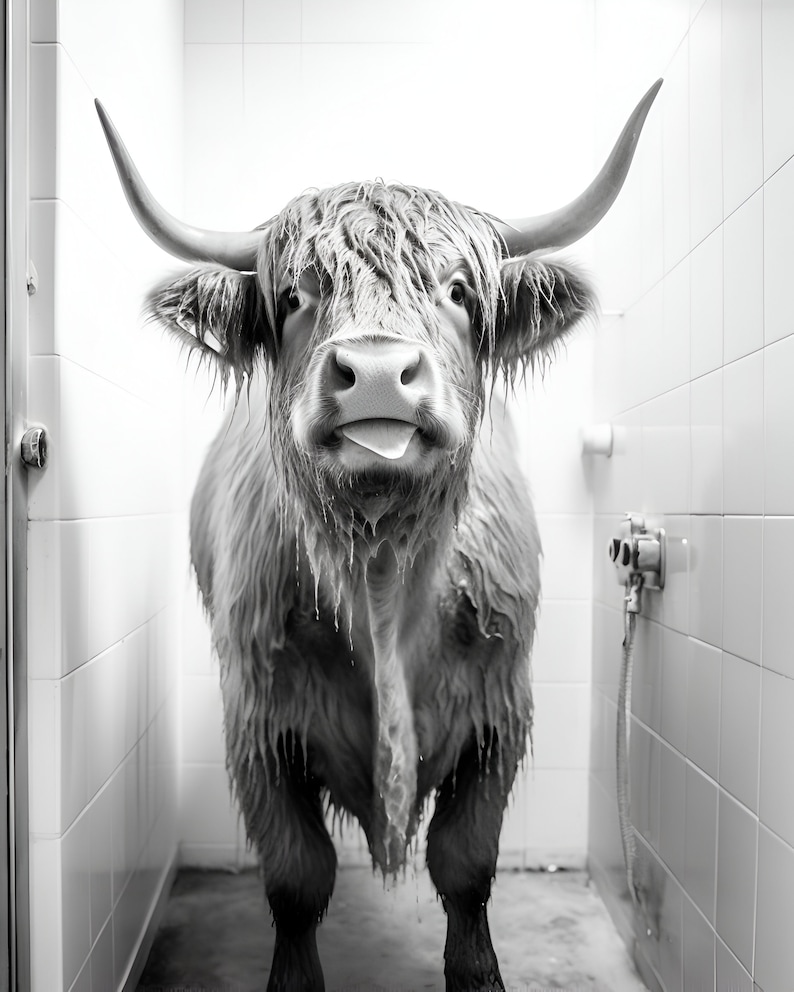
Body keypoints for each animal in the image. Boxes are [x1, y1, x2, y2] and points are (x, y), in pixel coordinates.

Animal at [97, 80, 660, 992]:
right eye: (293, 297)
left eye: (460, 291)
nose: (375, 375)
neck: (386, 579)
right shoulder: (258, 723)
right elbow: (297, 878)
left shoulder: (500, 712)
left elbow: (466, 866)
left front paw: (479, 975)